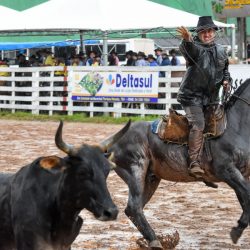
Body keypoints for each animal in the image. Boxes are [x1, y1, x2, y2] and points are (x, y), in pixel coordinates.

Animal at [106, 78, 250, 248]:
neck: (234, 128)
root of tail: (114, 141)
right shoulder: (227, 171)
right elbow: (248, 196)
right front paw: (237, 230)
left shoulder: (242, 175)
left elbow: (246, 200)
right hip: (136, 172)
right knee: (134, 208)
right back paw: (156, 241)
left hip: (151, 179)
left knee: (133, 210)